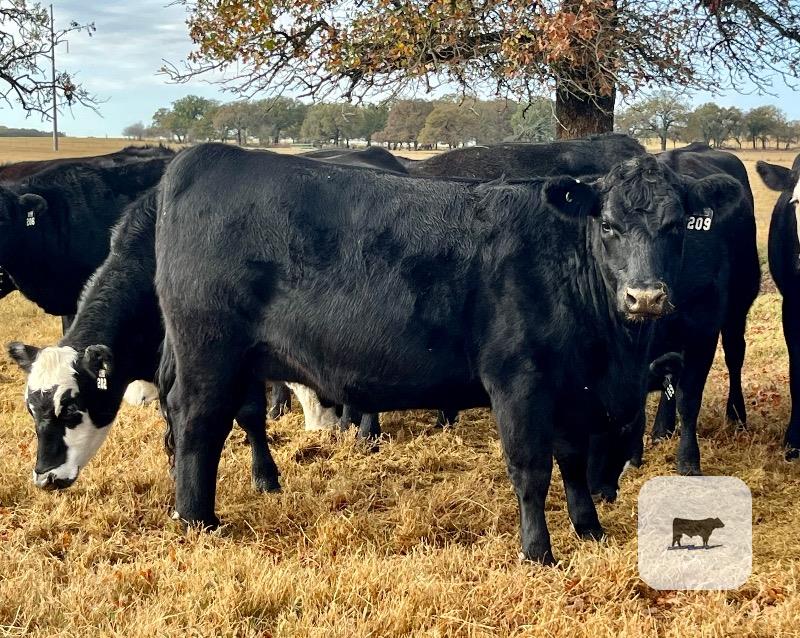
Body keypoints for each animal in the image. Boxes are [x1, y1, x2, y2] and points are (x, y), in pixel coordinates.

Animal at [153, 143, 740, 563]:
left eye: (675, 225)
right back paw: (198, 519)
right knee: (197, 422)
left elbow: (572, 462)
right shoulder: (518, 380)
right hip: (208, 353)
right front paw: (538, 551)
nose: (645, 296)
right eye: (609, 224)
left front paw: (589, 528)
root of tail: (202, 157)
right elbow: (531, 468)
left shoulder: (572, 388)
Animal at [587, 144, 759, 500]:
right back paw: (661, 430)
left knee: (734, 354)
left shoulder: (703, 330)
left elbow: (689, 396)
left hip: (739, 304)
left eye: (677, 225)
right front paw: (633, 456)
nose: (645, 297)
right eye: (607, 225)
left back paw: (736, 415)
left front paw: (688, 461)